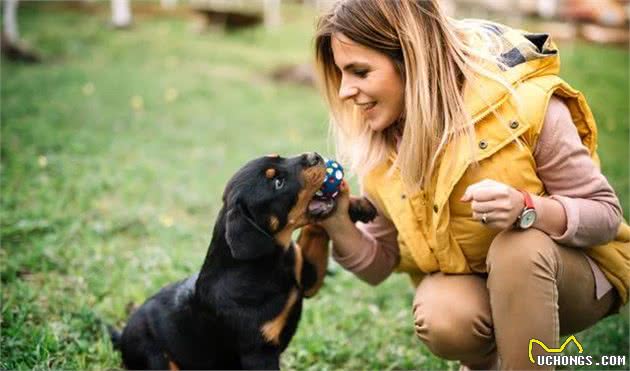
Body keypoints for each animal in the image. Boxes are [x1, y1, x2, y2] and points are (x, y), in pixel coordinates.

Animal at [110, 153, 376, 370]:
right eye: (277, 183)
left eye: (279, 157)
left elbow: (316, 228)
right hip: (156, 356)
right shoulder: (258, 353)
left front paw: (355, 205)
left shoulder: (307, 278)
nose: (315, 156)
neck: (269, 261)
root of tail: (121, 336)